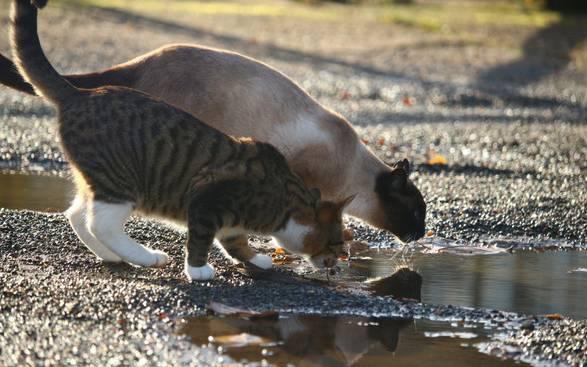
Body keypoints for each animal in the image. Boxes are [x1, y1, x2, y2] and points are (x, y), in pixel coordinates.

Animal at [10, 0, 354, 280]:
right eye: (338, 240)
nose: (343, 259)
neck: (285, 197)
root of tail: (80, 93)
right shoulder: (208, 198)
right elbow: (201, 237)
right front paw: (199, 270)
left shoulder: (230, 220)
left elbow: (235, 241)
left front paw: (256, 259)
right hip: (121, 181)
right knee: (101, 224)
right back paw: (145, 257)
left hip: (97, 179)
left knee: (77, 215)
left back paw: (111, 255)